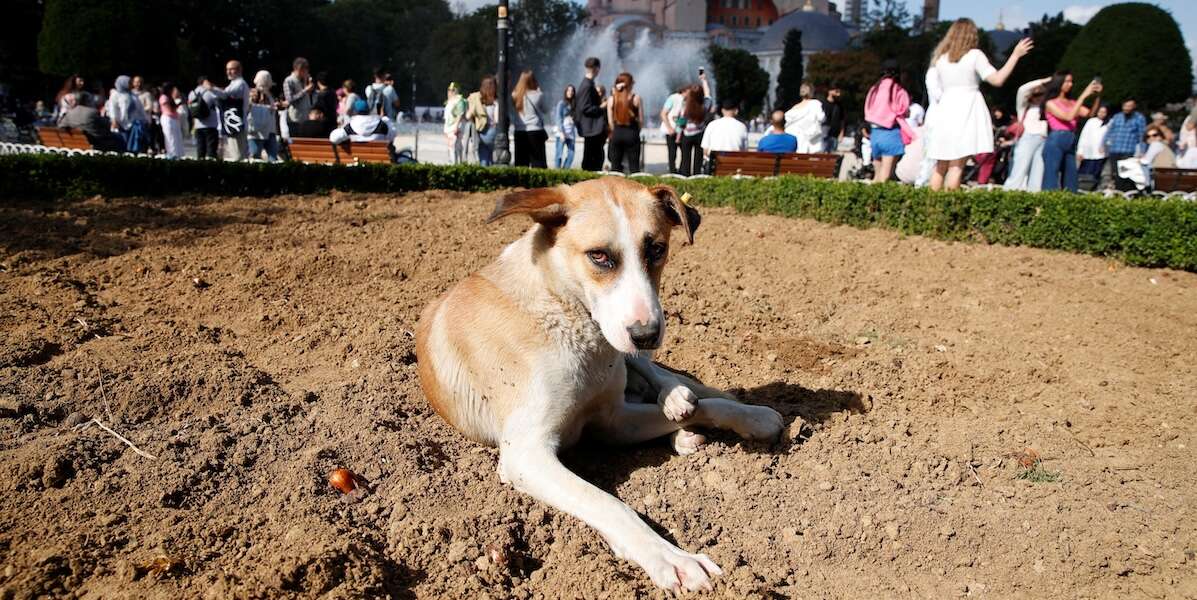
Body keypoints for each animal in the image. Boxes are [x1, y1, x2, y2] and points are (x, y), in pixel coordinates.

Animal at [416, 174, 790, 591]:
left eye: (657, 249)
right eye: (598, 256)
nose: (647, 335)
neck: (565, 310)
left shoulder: (613, 419)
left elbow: (707, 403)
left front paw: (751, 416)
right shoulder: (528, 453)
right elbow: (609, 504)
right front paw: (673, 558)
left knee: (665, 378)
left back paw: (687, 401)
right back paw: (682, 426)